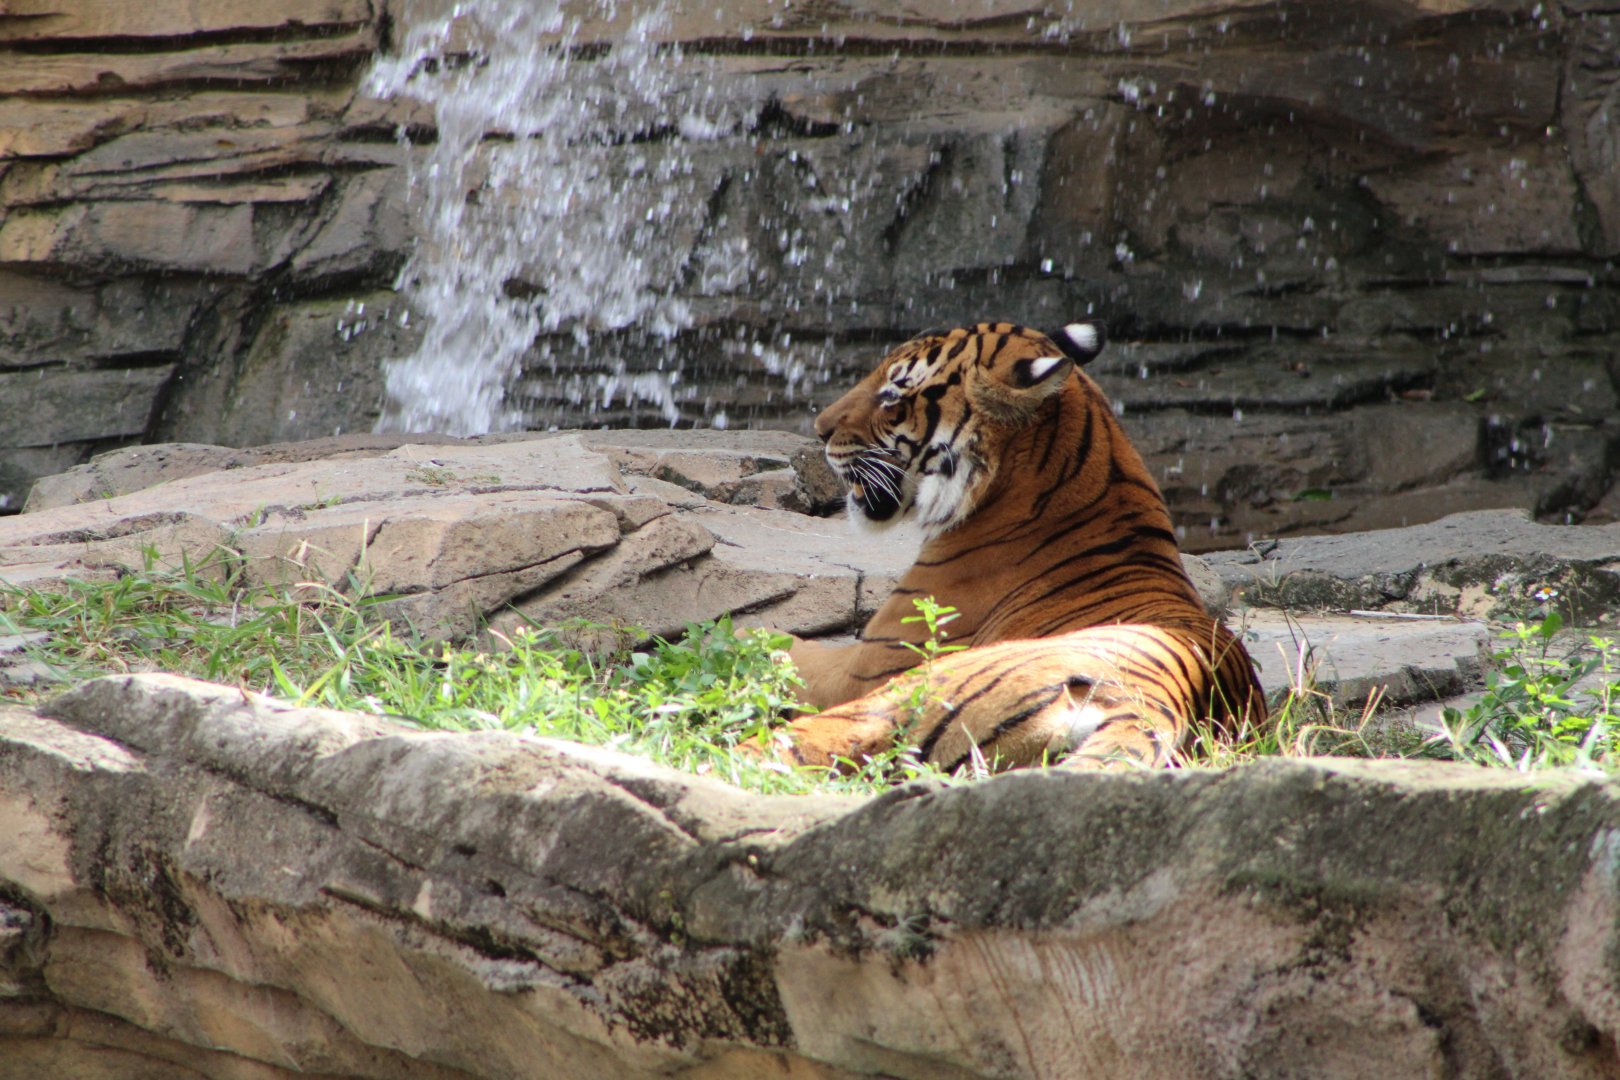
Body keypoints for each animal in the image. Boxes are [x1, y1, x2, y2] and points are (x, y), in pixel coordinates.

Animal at [777, 320, 1266, 771]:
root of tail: (1151, 705)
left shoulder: (862, 668)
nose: (819, 430)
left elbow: (783, 645)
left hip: (902, 694)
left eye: (893, 395)